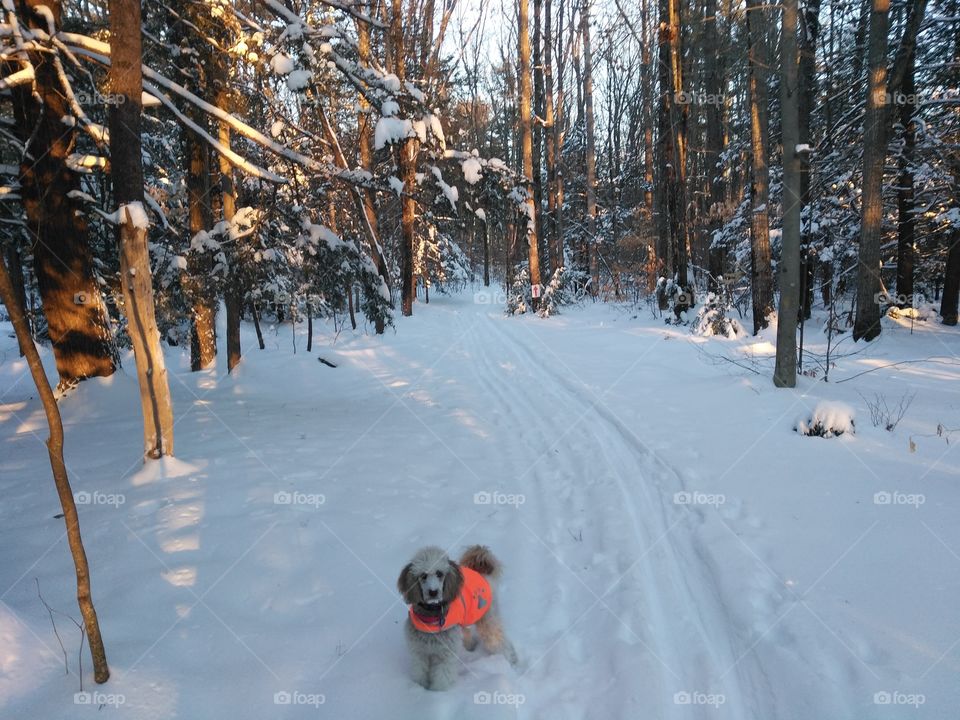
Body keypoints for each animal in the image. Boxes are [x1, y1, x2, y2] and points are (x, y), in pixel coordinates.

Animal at [396, 544, 516, 688]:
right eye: (423, 575)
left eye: (439, 573)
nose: (433, 592)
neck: (432, 617)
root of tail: (482, 574)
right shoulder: (419, 653)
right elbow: (419, 672)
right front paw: (420, 688)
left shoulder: (445, 655)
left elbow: (442, 677)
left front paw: (437, 692)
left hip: (488, 621)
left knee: (500, 642)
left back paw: (509, 660)